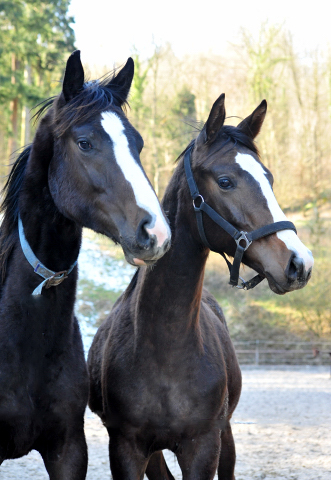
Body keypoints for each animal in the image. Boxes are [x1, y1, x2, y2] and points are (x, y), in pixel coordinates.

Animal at [87, 94, 314, 480]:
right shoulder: (126, 449)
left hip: (227, 436)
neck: (163, 349)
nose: (300, 263)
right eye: (225, 181)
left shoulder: (204, 446)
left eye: (268, 177)